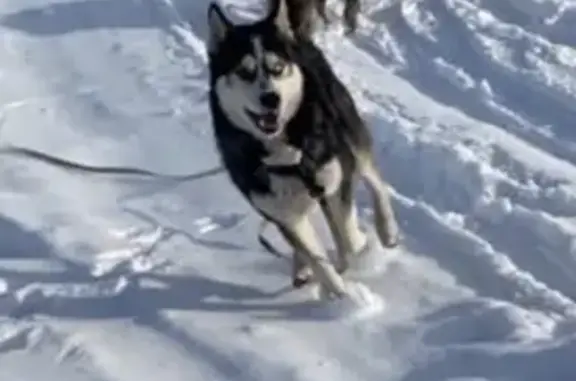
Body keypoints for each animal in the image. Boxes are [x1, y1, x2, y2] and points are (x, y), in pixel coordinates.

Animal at [208, 0, 400, 296]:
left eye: (277, 68)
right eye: (244, 72)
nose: (271, 99)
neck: (287, 152)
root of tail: (296, 36)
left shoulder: (337, 178)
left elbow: (347, 233)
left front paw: (358, 258)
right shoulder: (283, 214)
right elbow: (318, 259)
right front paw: (341, 295)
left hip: (348, 131)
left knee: (374, 178)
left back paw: (386, 230)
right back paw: (302, 267)